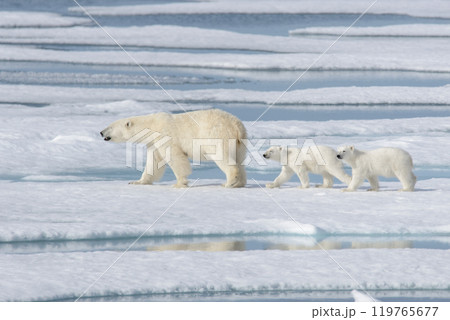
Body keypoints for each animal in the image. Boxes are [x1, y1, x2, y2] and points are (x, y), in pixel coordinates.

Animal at [100, 109, 246, 188]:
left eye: (110, 127)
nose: (101, 132)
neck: (152, 125)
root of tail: (236, 126)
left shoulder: (165, 135)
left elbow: (175, 158)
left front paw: (179, 184)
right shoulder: (154, 142)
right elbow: (153, 163)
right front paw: (137, 182)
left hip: (217, 135)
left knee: (223, 157)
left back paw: (228, 183)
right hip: (240, 143)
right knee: (239, 160)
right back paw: (239, 183)